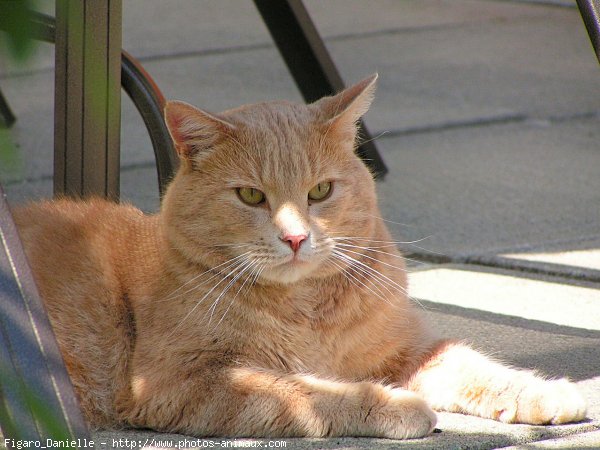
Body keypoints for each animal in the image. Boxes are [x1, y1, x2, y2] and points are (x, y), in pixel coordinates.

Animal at [12, 74, 584, 440]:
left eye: (321, 191)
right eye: (251, 196)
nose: (294, 238)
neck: (307, 309)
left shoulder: (409, 350)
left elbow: (478, 367)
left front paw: (557, 396)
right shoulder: (186, 382)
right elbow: (304, 392)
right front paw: (398, 406)